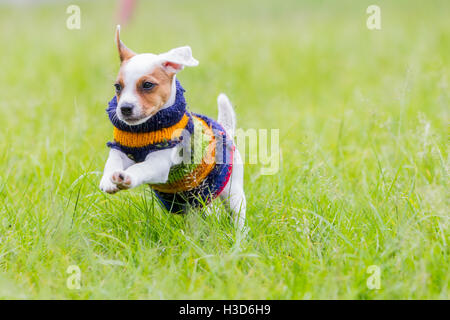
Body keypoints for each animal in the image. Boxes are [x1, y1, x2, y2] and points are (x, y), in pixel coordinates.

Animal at [99, 26, 246, 229]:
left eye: (147, 85)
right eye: (117, 87)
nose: (124, 108)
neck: (143, 130)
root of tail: (225, 130)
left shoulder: (158, 164)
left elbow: (141, 168)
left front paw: (126, 178)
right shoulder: (121, 150)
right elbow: (112, 161)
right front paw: (108, 179)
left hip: (233, 194)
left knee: (237, 216)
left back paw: (238, 235)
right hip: (195, 201)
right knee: (205, 213)